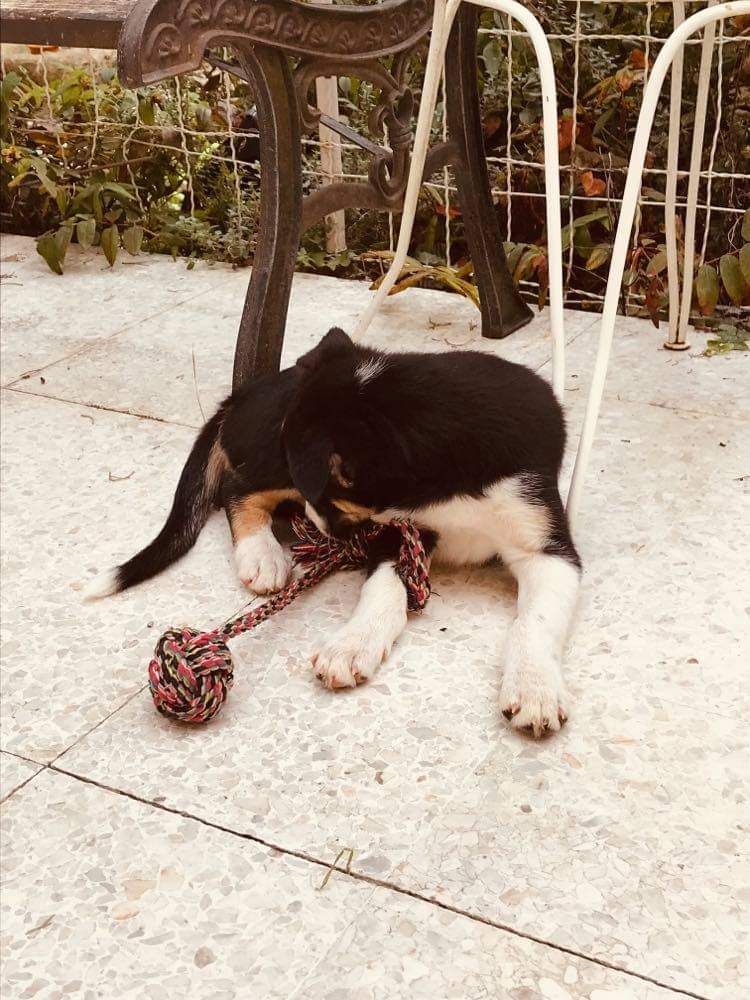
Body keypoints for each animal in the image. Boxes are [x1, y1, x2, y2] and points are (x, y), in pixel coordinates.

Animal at [86, 328, 581, 737]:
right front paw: (353, 644)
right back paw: (261, 553)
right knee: (235, 488)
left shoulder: (547, 546)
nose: (313, 521)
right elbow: (381, 590)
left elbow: (534, 620)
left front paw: (534, 687)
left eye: (326, 498)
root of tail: (241, 394)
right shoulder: (396, 534)